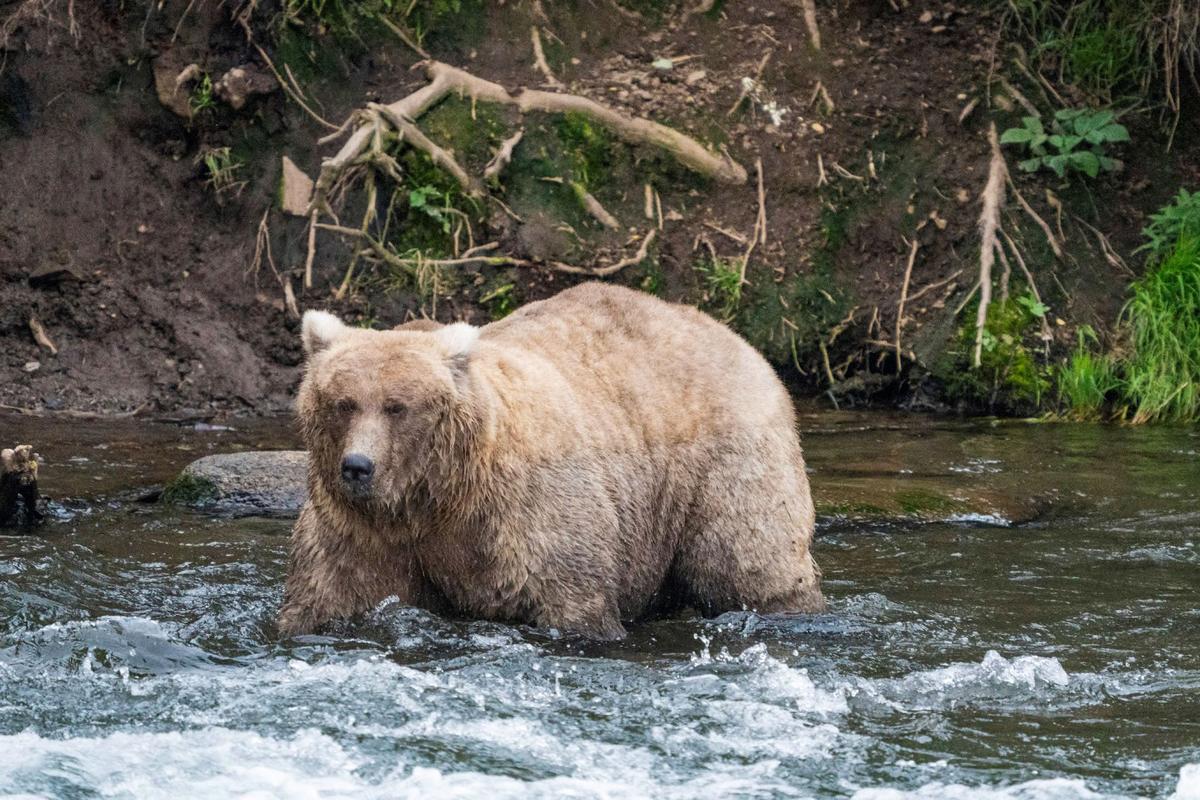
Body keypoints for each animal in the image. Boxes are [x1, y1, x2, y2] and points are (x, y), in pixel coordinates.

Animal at [278, 282, 824, 639]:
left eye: (397, 406)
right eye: (343, 402)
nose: (357, 466)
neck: (437, 496)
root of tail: (735, 337)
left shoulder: (527, 513)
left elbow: (570, 597)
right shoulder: (363, 530)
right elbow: (331, 592)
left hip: (722, 463)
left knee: (747, 560)